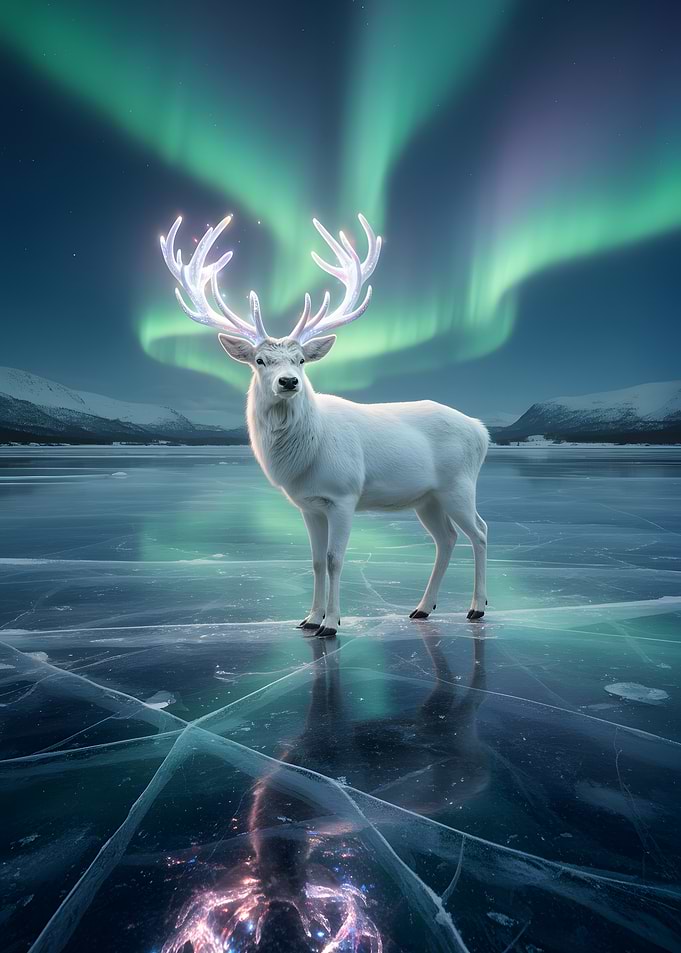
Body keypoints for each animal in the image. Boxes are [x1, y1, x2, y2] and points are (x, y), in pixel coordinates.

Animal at [160, 213, 489, 637]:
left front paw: (332, 623)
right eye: (260, 361)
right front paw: (309, 618)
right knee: (446, 539)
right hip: (427, 498)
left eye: (301, 360)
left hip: (458, 485)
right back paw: (422, 608)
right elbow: (315, 561)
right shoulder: (309, 504)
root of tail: (482, 431)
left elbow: (335, 559)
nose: (288, 382)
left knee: (480, 531)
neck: (305, 456)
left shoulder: (344, 495)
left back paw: (477, 607)